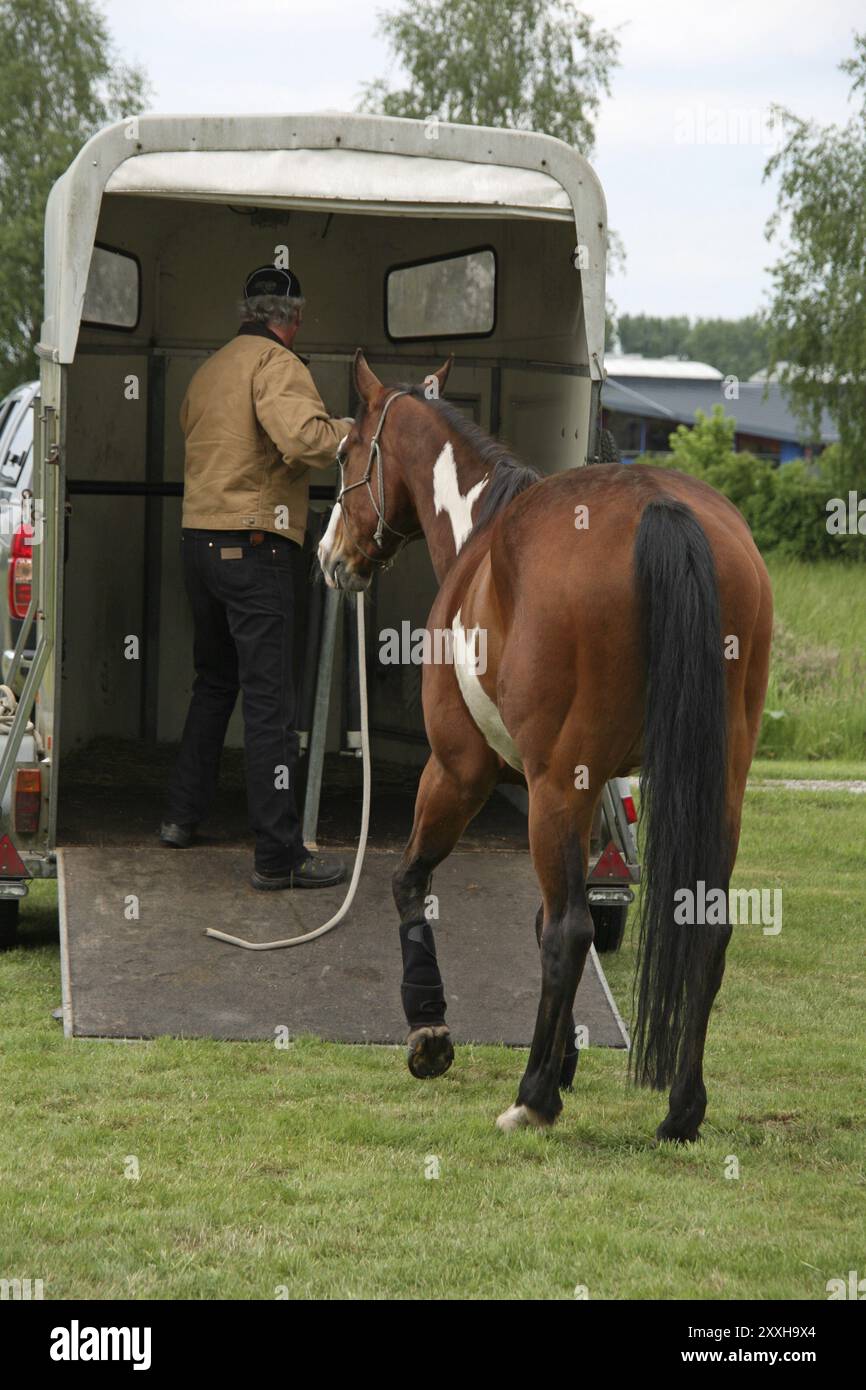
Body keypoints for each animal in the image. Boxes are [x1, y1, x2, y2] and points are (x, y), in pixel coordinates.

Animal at [318, 350, 773, 1142]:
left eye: (346, 452)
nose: (329, 555)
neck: (482, 533)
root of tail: (662, 506)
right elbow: (540, 918)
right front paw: (565, 1061)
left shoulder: (462, 772)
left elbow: (411, 881)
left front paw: (431, 1032)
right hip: (713, 787)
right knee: (702, 930)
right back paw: (681, 1110)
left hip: (557, 785)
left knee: (570, 931)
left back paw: (530, 1098)